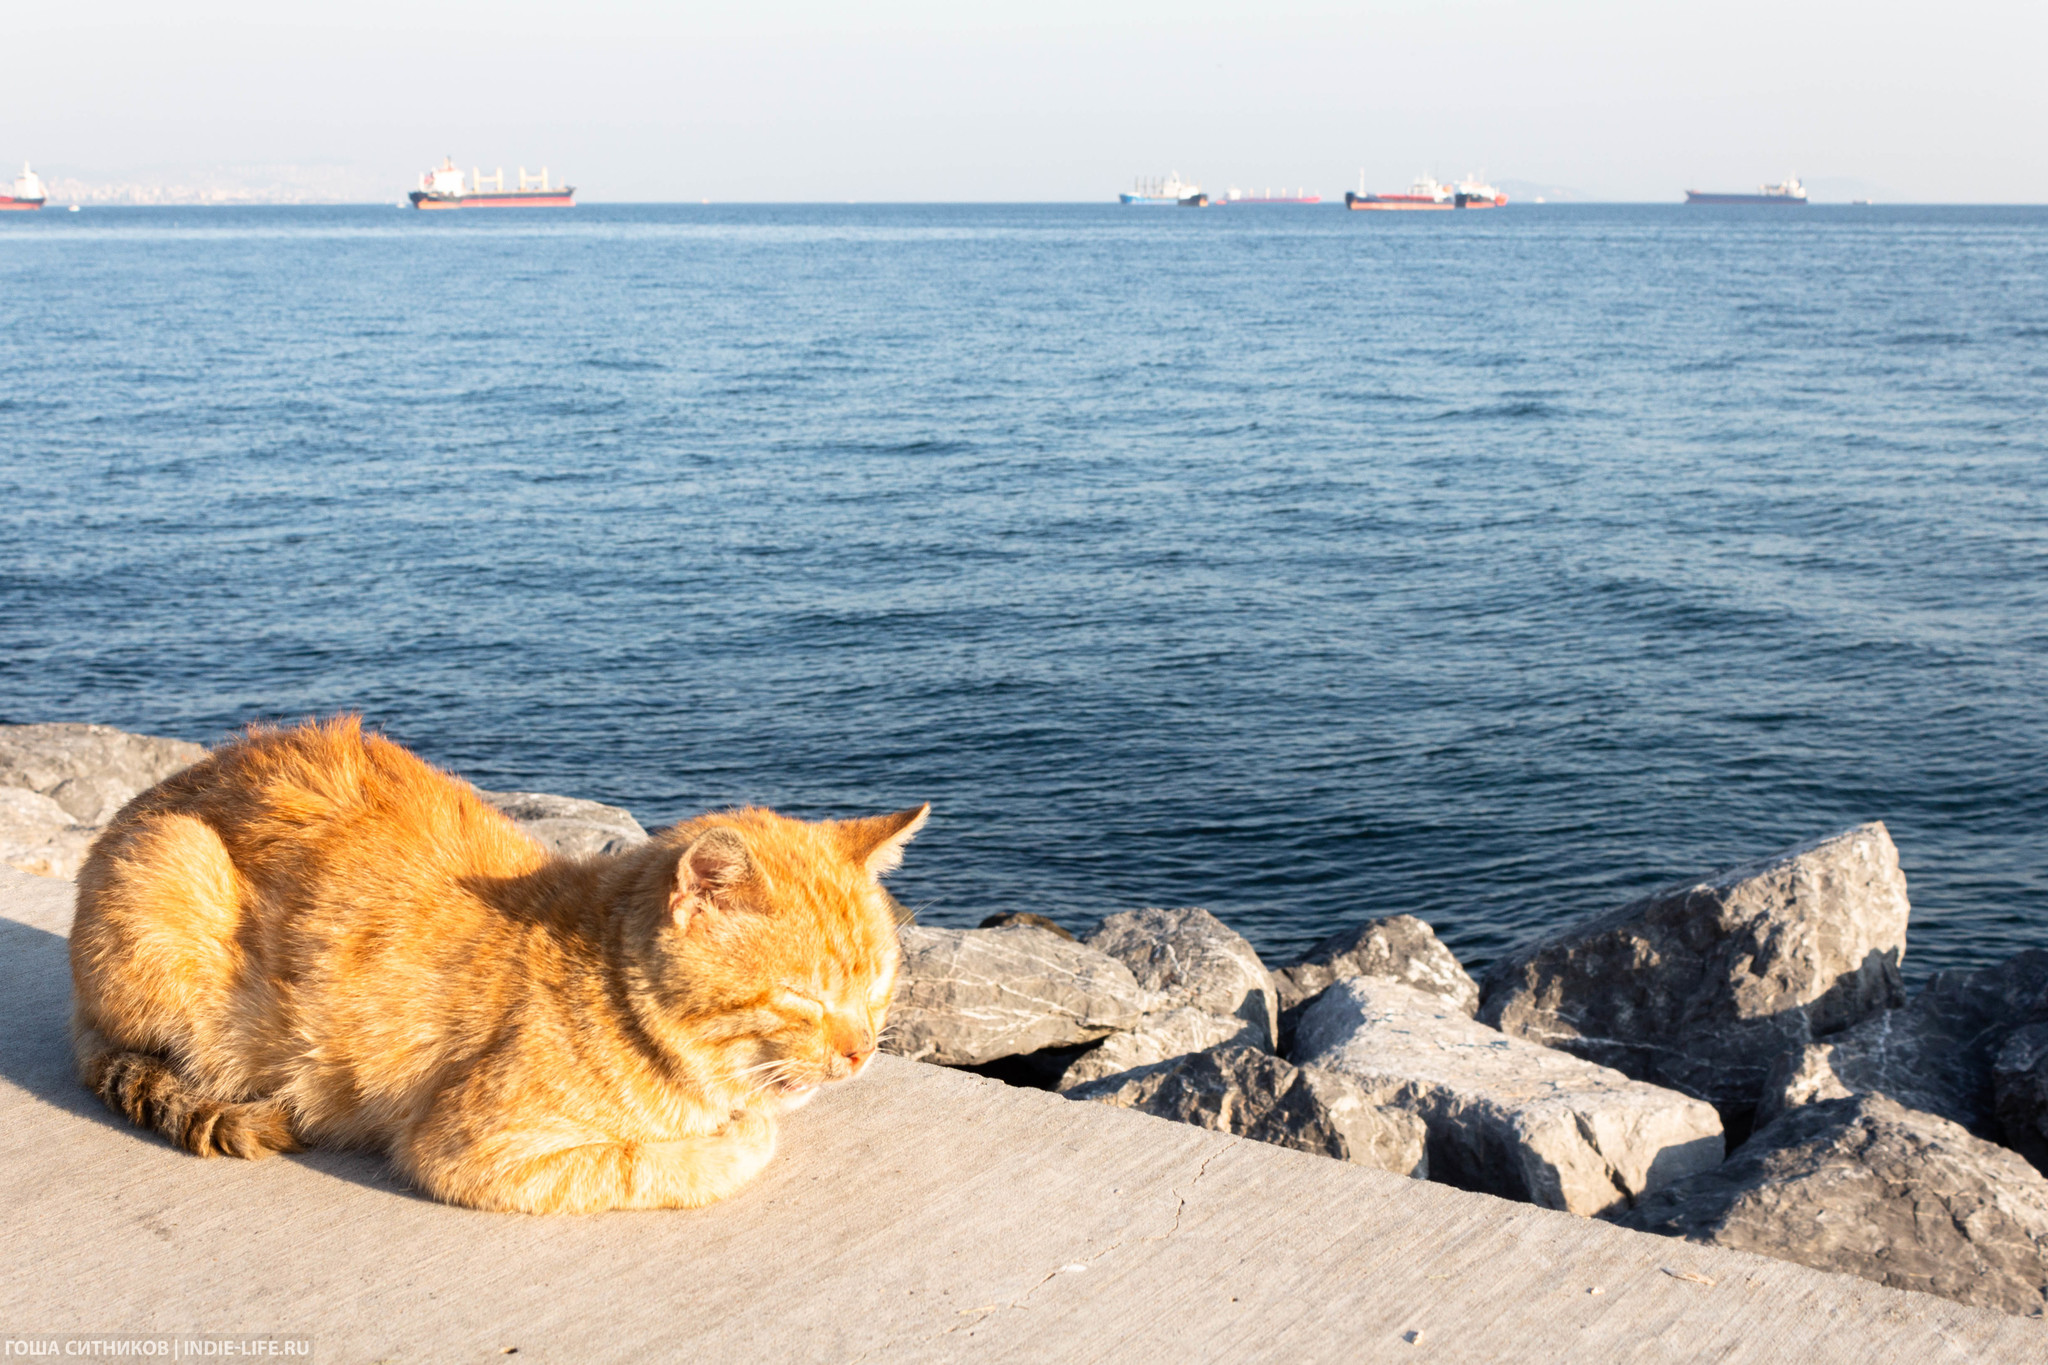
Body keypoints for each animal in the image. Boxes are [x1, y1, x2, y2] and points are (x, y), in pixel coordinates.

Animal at [70, 720, 921, 1211]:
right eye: (802, 997)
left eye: (878, 989)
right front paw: (738, 1137)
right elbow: (664, 1164)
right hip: (171, 867)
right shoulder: (468, 1150)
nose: (862, 1052)